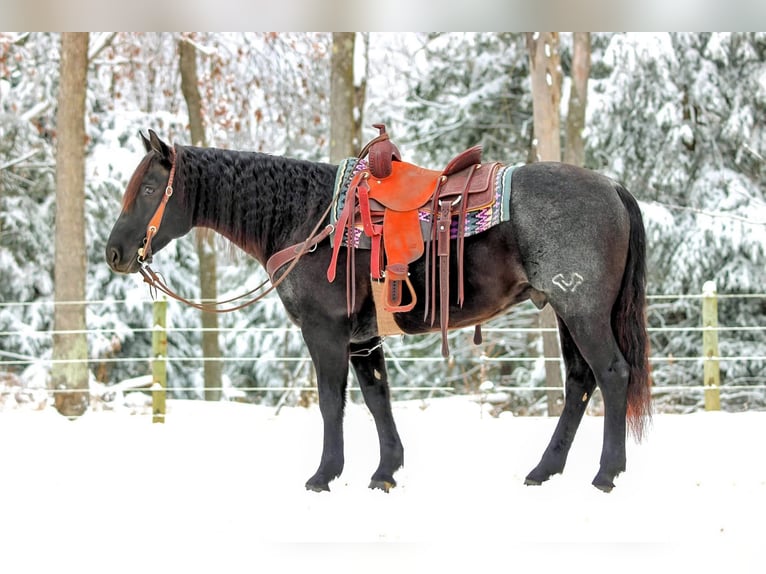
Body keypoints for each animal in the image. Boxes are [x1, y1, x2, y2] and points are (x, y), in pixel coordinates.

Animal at [105, 130, 652, 493]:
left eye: (150, 189)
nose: (115, 253)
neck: (307, 218)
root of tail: (611, 187)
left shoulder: (325, 333)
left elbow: (332, 403)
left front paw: (324, 475)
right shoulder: (362, 339)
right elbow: (377, 399)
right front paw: (386, 471)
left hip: (581, 309)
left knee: (611, 373)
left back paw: (606, 473)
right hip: (564, 310)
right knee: (580, 383)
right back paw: (544, 471)